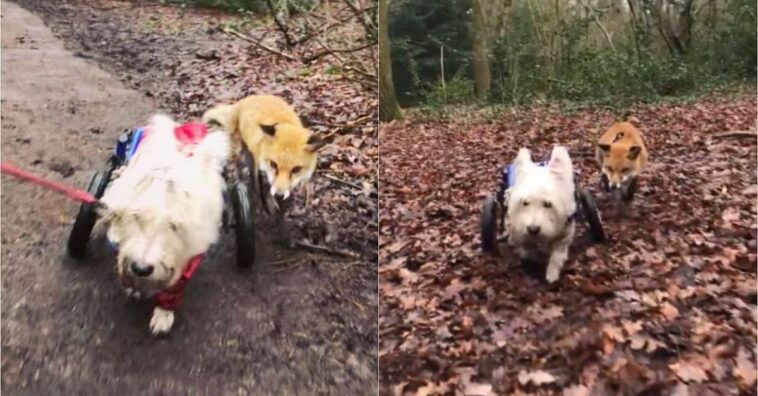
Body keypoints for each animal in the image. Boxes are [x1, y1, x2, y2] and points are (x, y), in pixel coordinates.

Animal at [101, 114, 232, 334]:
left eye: (174, 225)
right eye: (136, 216)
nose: (141, 268)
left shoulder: (189, 256)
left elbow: (175, 286)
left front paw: (163, 313)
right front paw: (135, 286)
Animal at [508, 147, 580, 284]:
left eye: (548, 204)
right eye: (525, 202)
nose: (533, 229)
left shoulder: (565, 235)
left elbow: (557, 256)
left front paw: (551, 275)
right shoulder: (519, 232)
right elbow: (526, 250)